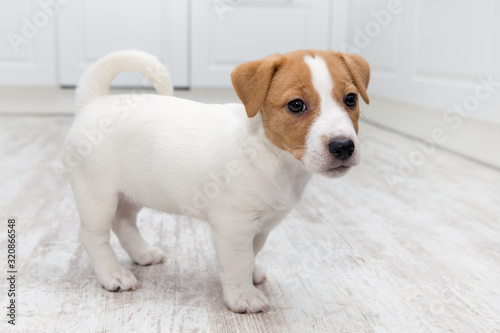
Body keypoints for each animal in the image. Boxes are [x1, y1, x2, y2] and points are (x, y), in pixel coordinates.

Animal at [62, 48, 370, 312]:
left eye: (351, 99)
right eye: (296, 105)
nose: (343, 146)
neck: (272, 155)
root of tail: (94, 101)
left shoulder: (260, 227)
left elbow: (252, 254)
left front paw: (251, 276)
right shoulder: (234, 226)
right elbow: (239, 261)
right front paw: (243, 296)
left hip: (132, 192)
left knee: (123, 222)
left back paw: (143, 253)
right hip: (98, 195)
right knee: (92, 237)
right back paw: (113, 274)